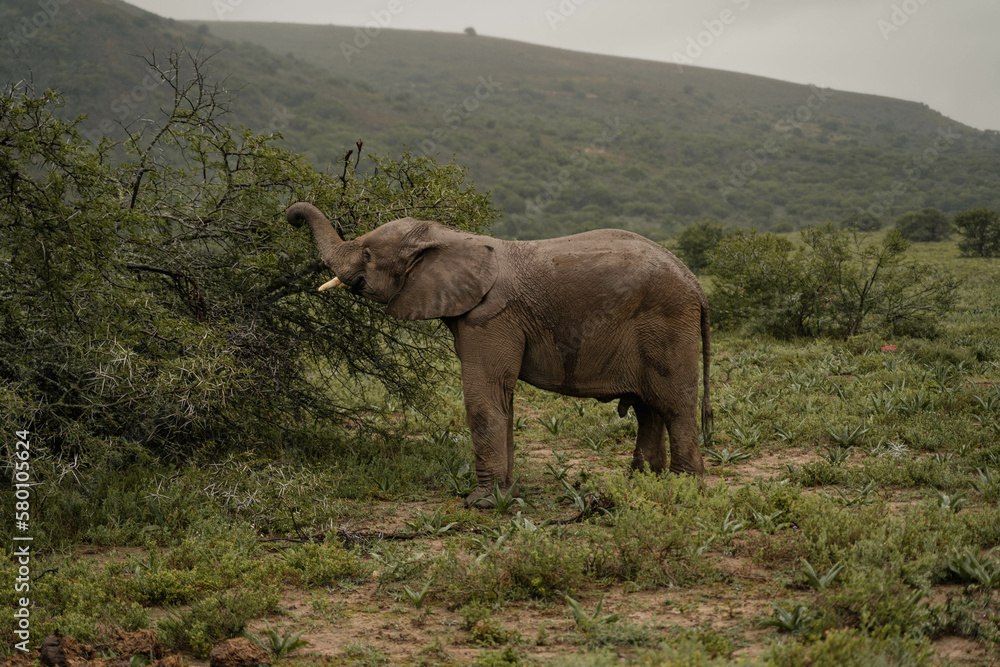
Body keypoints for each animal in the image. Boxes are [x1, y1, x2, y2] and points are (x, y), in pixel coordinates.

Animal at [286, 202, 712, 507]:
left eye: (368, 254)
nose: (291, 218)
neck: (452, 237)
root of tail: (695, 283)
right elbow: (501, 396)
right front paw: (507, 495)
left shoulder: (492, 315)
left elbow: (484, 394)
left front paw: (481, 504)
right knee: (648, 408)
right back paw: (640, 483)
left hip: (667, 323)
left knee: (674, 404)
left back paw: (683, 489)